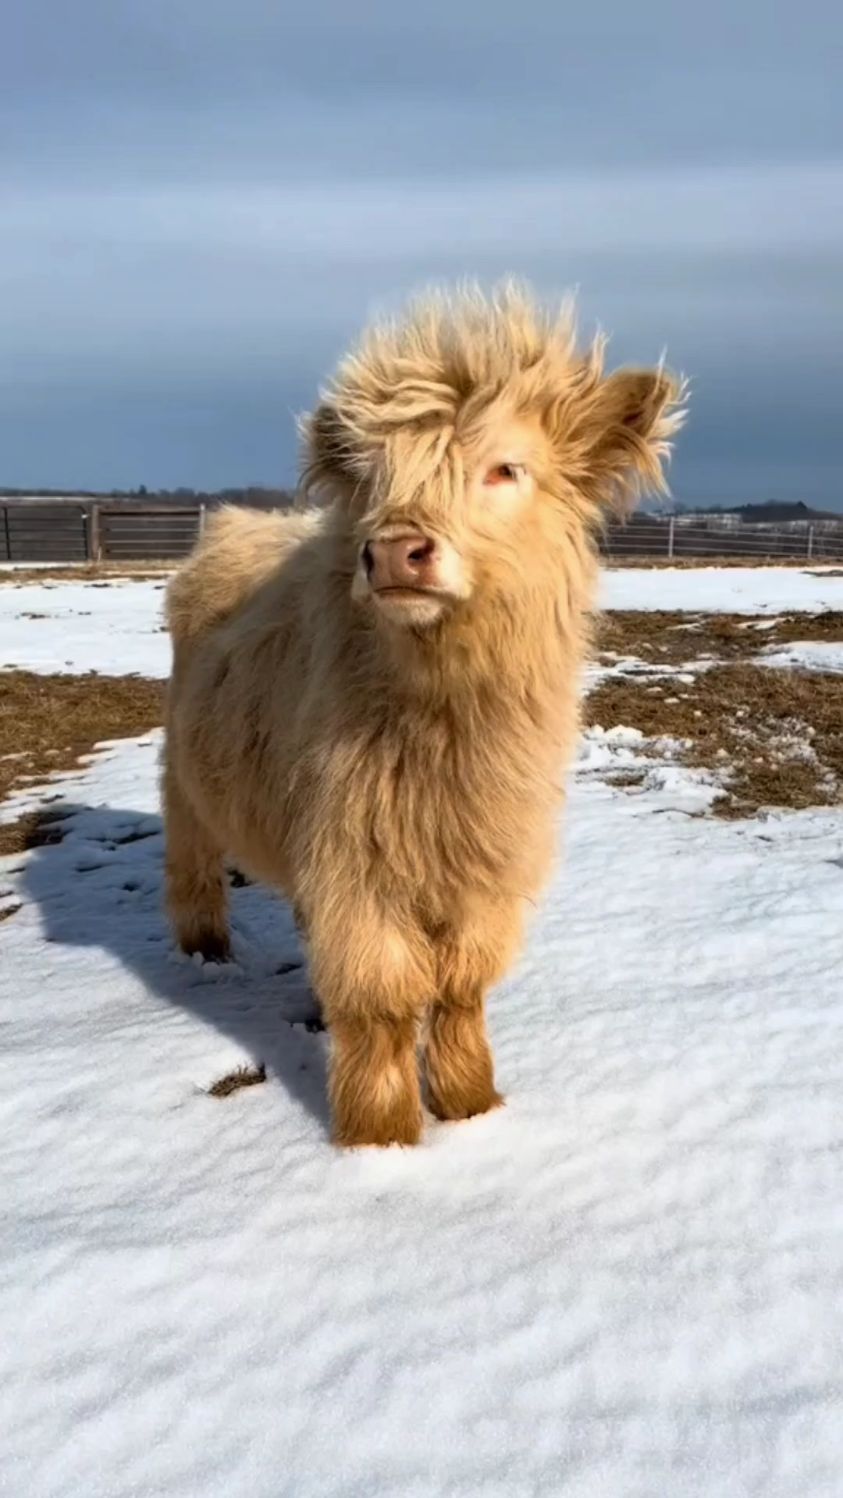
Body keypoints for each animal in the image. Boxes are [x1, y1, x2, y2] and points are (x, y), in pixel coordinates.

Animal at [164, 281, 685, 1144]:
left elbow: (458, 991)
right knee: (192, 861)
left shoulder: (484, 865)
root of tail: (236, 524)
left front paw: (473, 1105)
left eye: (505, 468)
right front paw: (382, 1140)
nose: (394, 550)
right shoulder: (357, 865)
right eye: (375, 482)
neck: (446, 731)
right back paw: (204, 951)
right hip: (184, 778)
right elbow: (380, 1001)